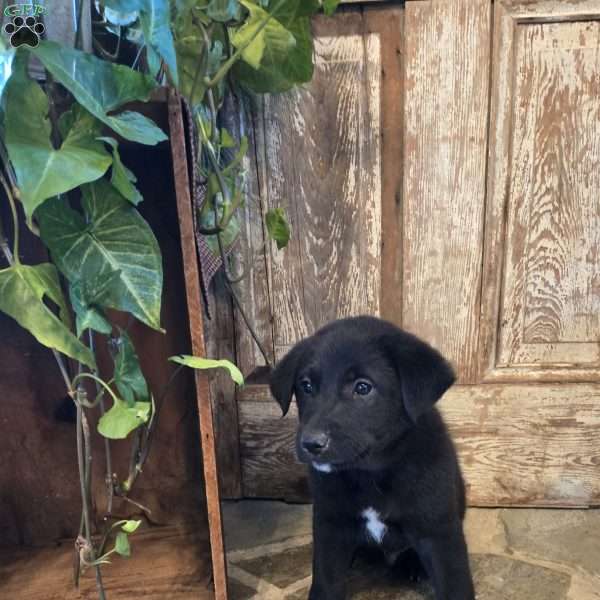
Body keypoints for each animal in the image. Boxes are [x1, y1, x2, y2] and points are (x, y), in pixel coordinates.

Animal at [270, 316, 474, 600]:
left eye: (363, 387)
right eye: (306, 385)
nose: (311, 443)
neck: (369, 473)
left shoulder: (439, 532)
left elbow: (455, 585)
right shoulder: (330, 526)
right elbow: (325, 581)